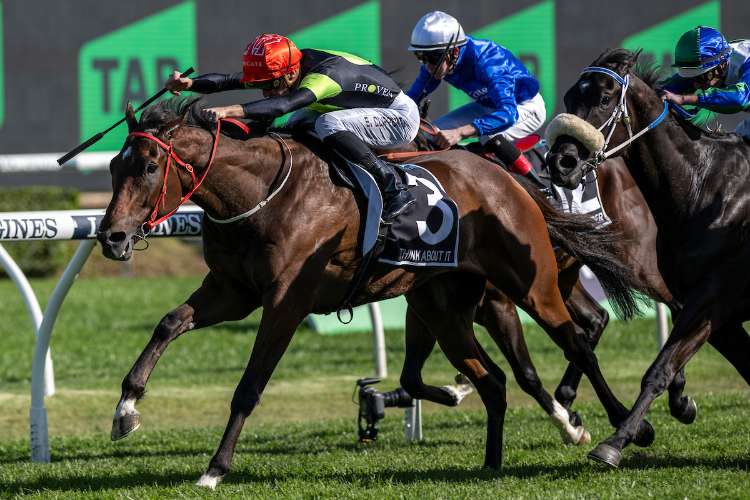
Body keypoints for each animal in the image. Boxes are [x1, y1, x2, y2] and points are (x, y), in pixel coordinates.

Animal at [98, 96, 646, 487]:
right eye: (113, 168)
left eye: (149, 167)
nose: (112, 237)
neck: (262, 194)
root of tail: (508, 181)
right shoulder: (232, 292)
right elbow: (169, 323)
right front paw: (126, 411)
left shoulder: (285, 304)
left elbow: (249, 387)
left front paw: (214, 469)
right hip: (444, 307)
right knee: (493, 379)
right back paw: (491, 460)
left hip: (529, 286)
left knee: (576, 343)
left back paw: (618, 427)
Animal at [545, 48, 750, 468]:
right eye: (570, 98)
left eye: (604, 98)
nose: (560, 163)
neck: (703, 186)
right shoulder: (714, 311)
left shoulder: (712, 299)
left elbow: (660, 368)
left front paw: (615, 441)